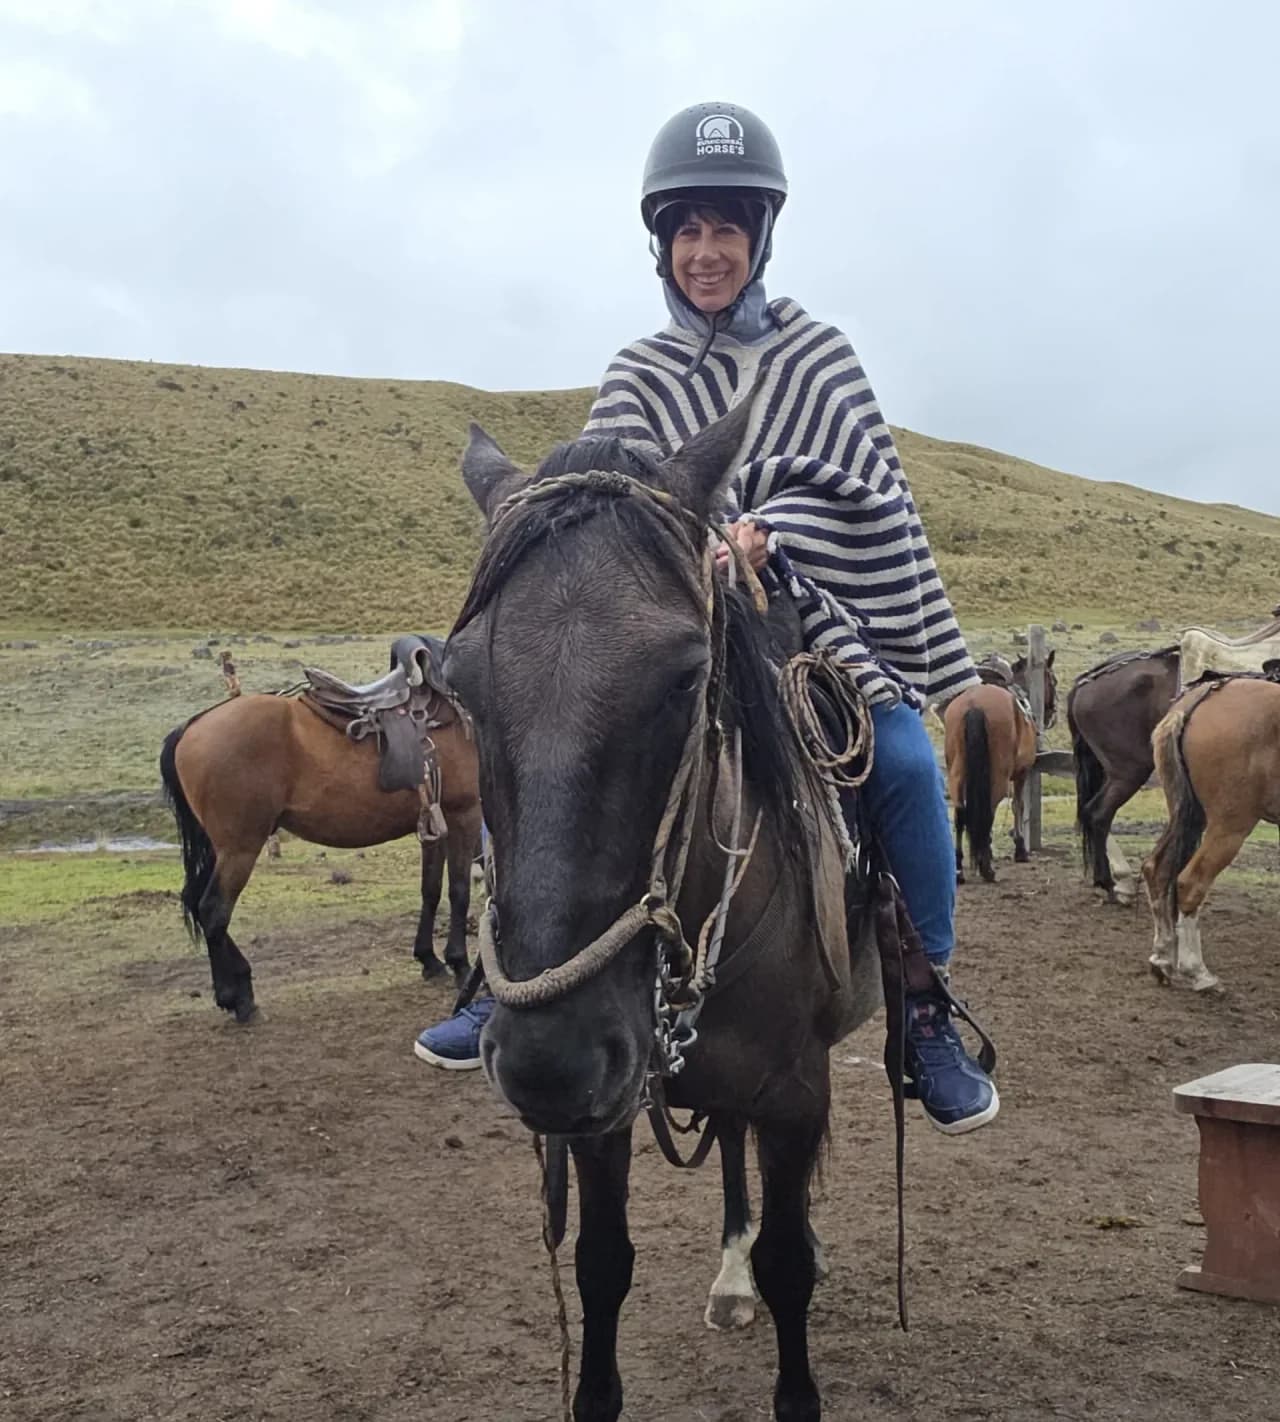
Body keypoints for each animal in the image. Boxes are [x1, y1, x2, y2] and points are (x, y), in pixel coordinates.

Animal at [159, 691, 481, 1021]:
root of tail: (193, 726)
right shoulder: (464, 814)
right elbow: (459, 891)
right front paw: (460, 963)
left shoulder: (434, 825)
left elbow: (431, 890)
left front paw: (429, 959)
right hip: (240, 849)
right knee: (214, 910)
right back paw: (238, 1000)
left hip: (219, 849)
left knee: (198, 905)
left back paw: (238, 987)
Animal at [444, 398, 880, 1422]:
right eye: (458, 685)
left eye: (686, 677)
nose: (548, 1062)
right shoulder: (604, 1111)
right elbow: (603, 1267)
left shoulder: (797, 1093)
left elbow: (790, 1262)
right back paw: (729, 1277)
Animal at [944, 651, 1057, 883]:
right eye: (1054, 681)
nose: (1052, 713)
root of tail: (974, 704)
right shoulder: (1021, 774)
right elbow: (1018, 806)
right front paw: (1020, 849)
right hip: (999, 776)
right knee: (988, 811)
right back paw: (986, 868)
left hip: (956, 773)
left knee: (960, 814)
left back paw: (959, 869)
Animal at [1142, 674, 1280, 992]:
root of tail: (1200, 698)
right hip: (1228, 827)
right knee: (1191, 883)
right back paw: (1198, 972)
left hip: (1188, 815)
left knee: (1157, 870)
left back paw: (1162, 958)